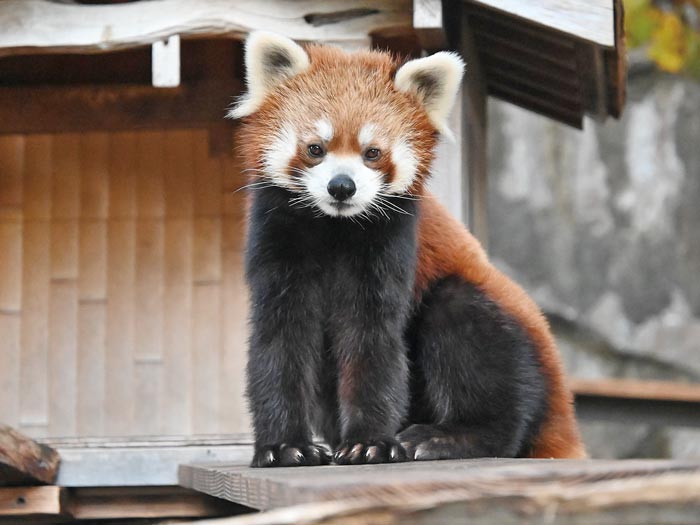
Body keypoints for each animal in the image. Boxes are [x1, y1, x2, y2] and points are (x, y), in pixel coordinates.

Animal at [232, 31, 584, 466]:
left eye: (373, 153)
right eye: (316, 148)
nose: (342, 186)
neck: (335, 227)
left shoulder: (391, 243)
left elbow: (373, 338)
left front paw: (368, 442)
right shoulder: (276, 240)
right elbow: (280, 340)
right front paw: (285, 446)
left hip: (509, 335)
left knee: (470, 337)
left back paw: (445, 437)